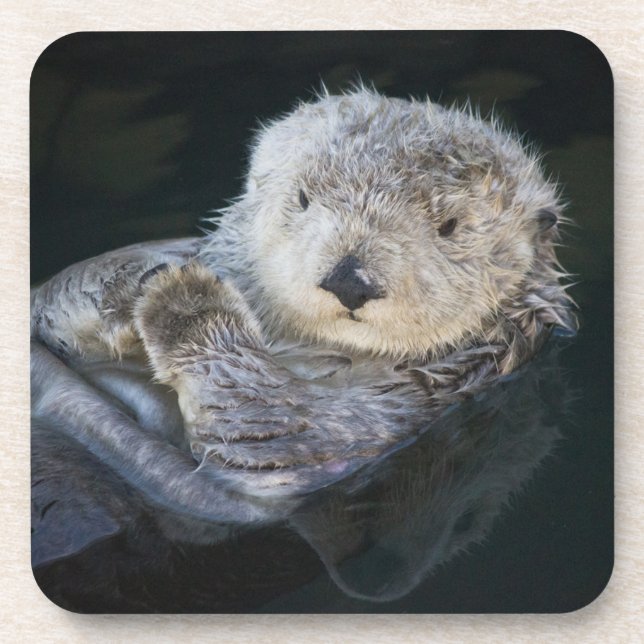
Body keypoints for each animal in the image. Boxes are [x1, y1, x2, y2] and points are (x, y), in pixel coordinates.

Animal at [30, 88, 576, 506]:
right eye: (303, 198)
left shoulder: (383, 419)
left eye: (450, 226)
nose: (350, 279)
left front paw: (184, 299)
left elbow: (271, 428)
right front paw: (137, 281)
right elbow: (52, 302)